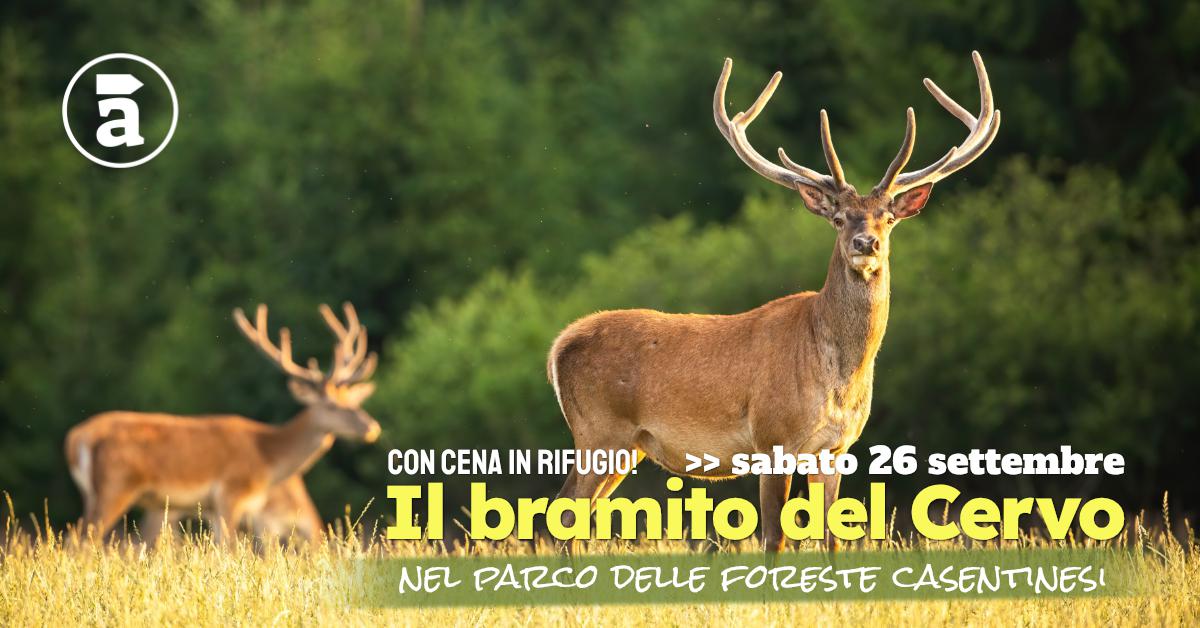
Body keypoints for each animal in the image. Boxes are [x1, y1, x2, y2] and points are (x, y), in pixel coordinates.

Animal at [65, 302, 381, 545]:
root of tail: (76, 439)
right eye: (332, 405)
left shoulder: (213, 507)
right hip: (116, 486)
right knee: (81, 540)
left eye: (354, 402)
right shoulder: (232, 493)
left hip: (100, 495)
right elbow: (229, 547)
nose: (372, 428)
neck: (268, 457)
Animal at [547, 52, 999, 551]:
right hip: (599, 430)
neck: (836, 375)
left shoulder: (835, 449)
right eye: (839, 218)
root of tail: (559, 345)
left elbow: (832, 539)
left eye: (888, 218)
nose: (866, 243)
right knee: (563, 511)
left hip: (627, 446)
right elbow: (774, 539)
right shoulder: (771, 438)